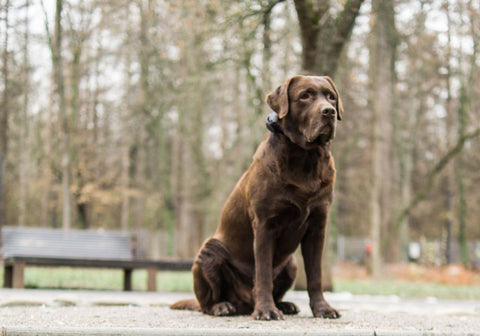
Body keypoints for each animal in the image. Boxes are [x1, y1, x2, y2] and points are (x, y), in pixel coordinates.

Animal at [171, 75, 344, 320]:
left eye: (331, 97)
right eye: (305, 96)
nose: (329, 111)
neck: (305, 158)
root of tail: (244, 303)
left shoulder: (318, 226)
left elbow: (315, 275)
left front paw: (323, 309)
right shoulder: (264, 224)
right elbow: (262, 273)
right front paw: (266, 310)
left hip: (291, 263)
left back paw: (285, 305)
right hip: (209, 252)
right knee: (206, 302)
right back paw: (223, 307)